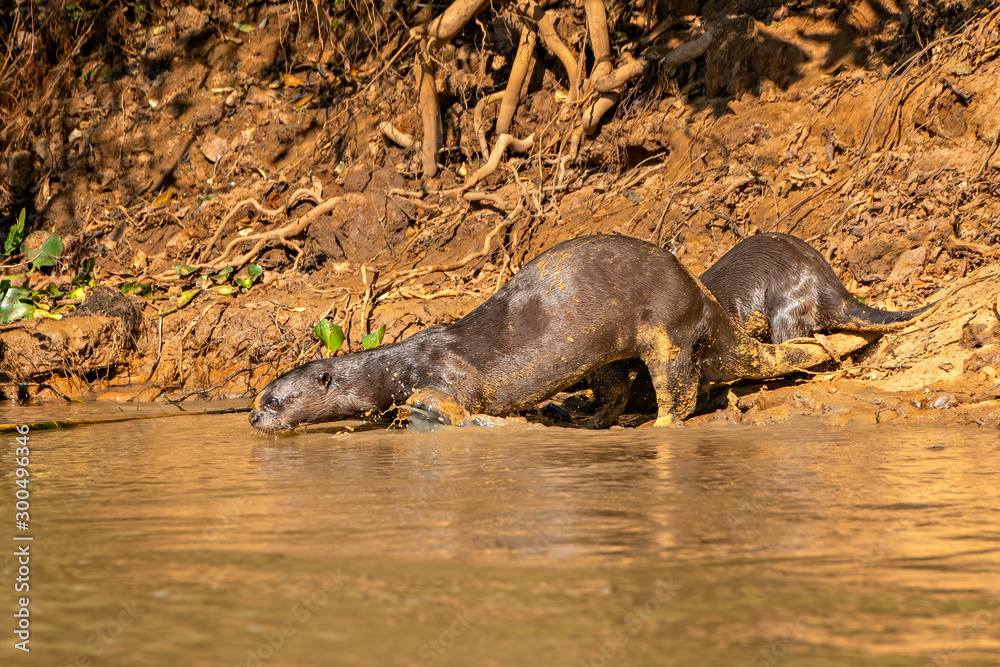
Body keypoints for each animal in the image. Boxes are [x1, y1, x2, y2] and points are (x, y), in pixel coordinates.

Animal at [249, 235, 844, 431]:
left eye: (274, 399)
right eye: (256, 398)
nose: (253, 418)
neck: (395, 366)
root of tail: (707, 303)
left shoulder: (446, 371)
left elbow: (463, 398)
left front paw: (427, 413)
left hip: (668, 329)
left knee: (679, 388)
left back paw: (657, 424)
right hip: (605, 354)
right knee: (617, 386)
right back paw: (587, 419)